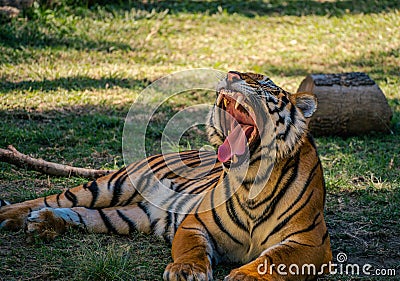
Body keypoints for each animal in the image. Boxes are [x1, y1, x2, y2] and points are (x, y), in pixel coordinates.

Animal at [0, 71, 332, 280]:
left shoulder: (310, 242)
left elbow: (274, 260)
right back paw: (13, 216)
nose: (231, 75)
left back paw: (43, 223)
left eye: (265, 82)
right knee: (51, 198)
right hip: (111, 185)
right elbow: (191, 249)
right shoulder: (196, 222)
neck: (251, 178)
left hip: (128, 217)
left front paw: (245, 277)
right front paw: (186, 271)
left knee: (84, 214)